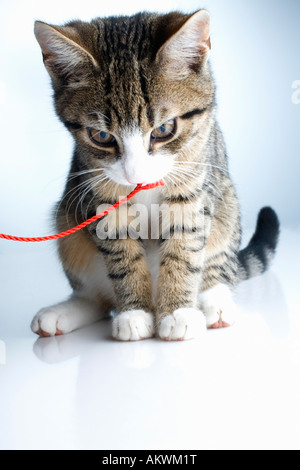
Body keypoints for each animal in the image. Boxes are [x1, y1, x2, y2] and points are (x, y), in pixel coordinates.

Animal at [30, 10, 278, 342]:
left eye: (163, 129)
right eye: (101, 136)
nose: (135, 174)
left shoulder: (194, 177)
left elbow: (185, 245)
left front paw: (177, 311)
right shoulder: (99, 191)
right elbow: (120, 253)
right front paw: (135, 312)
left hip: (227, 204)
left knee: (221, 257)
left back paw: (215, 301)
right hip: (67, 219)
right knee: (97, 298)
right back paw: (66, 312)